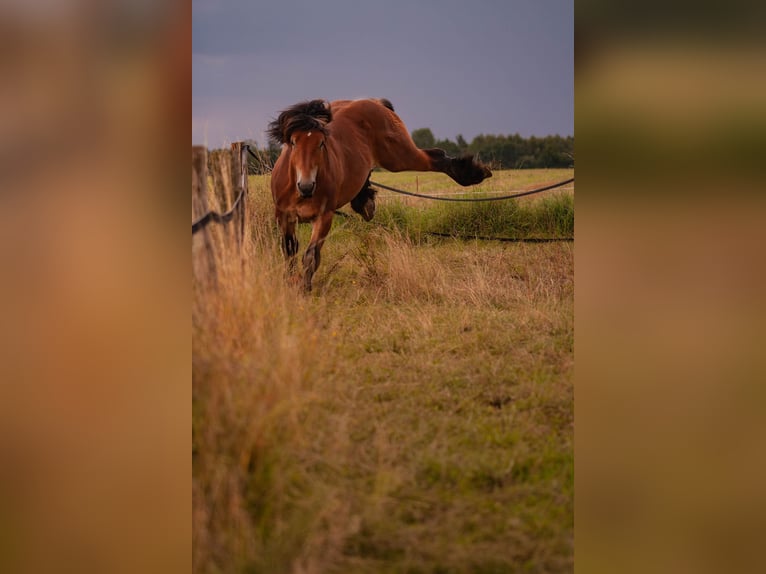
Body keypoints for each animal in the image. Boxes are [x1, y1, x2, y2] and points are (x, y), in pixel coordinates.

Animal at [268, 98, 492, 292]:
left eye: (321, 143)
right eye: (293, 143)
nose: (306, 186)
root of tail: (374, 102)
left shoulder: (324, 216)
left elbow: (310, 255)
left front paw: (304, 288)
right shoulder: (284, 216)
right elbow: (289, 250)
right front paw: (289, 283)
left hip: (399, 156)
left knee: (434, 156)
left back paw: (473, 174)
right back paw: (365, 203)